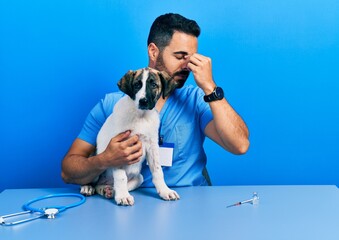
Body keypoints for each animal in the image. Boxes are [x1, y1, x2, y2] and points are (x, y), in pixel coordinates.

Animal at [81, 68, 181, 206]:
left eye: (153, 85)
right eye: (137, 85)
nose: (143, 101)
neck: (141, 116)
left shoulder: (152, 146)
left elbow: (157, 171)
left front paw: (165, 191)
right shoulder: (118, 149)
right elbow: (121, 176)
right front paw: (123, 196)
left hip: (139, 177)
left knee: (106, 186)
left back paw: (108, 190)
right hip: (95, 160)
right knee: (91, 178)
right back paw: (87, 187)